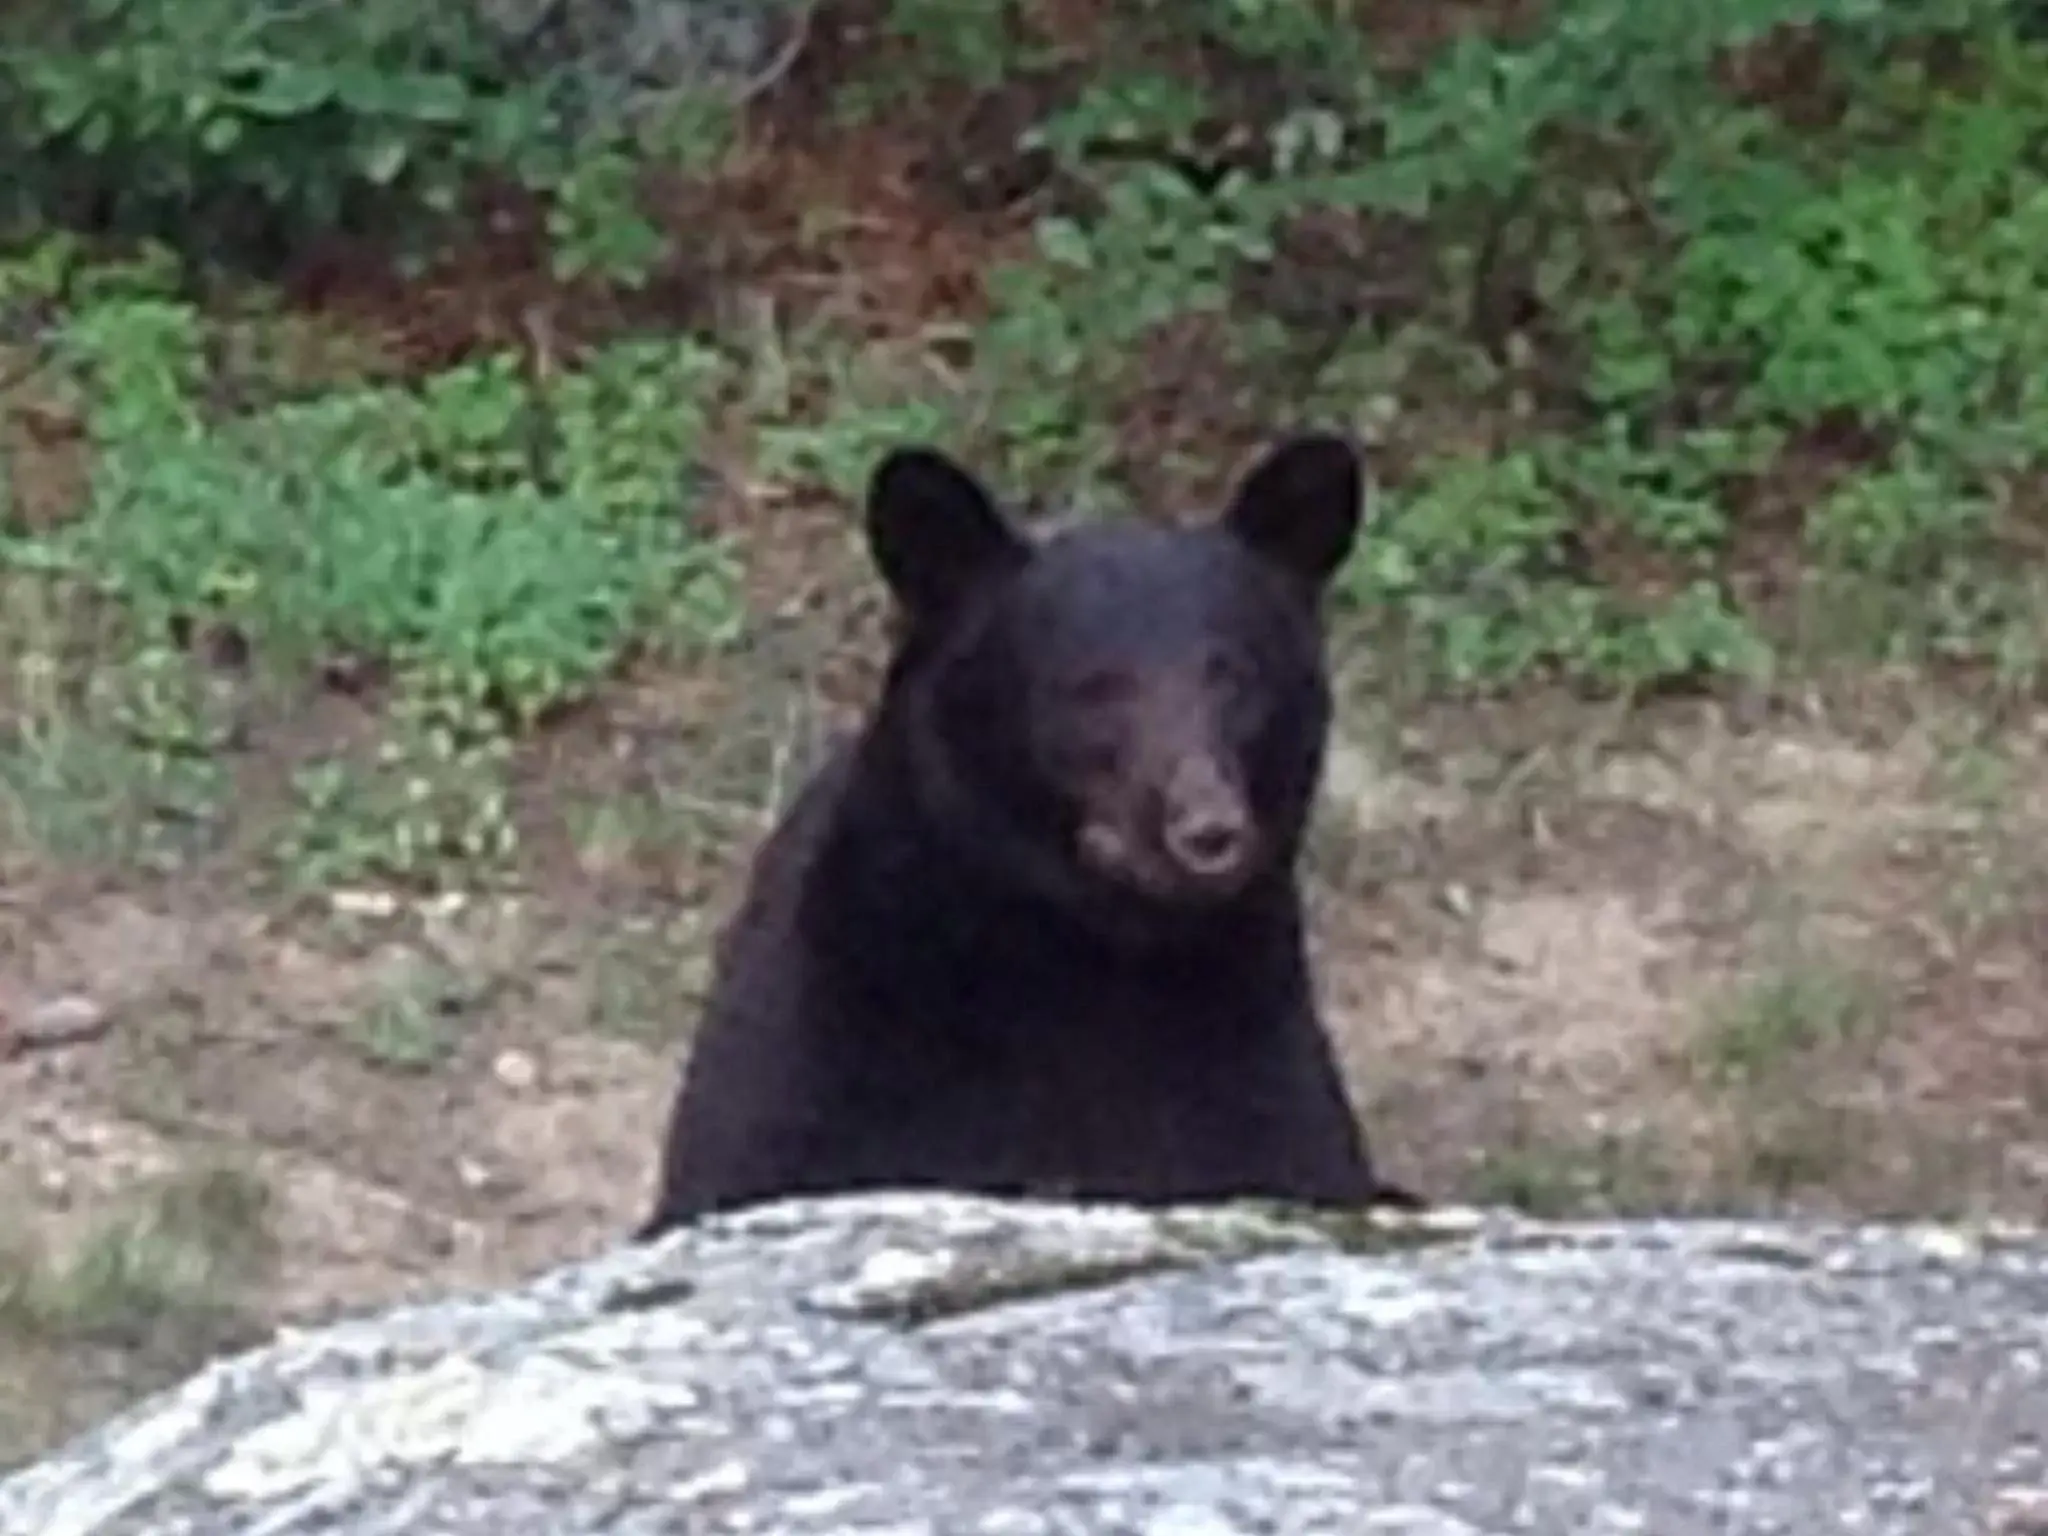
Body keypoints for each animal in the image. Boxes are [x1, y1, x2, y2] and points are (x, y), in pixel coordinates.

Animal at [634, 428, 1409, 1245]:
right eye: (1093, 688)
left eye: (1234, 675)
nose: (1207, 830)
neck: (1086, 954)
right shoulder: (818, 1055)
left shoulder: (1252, 1055)